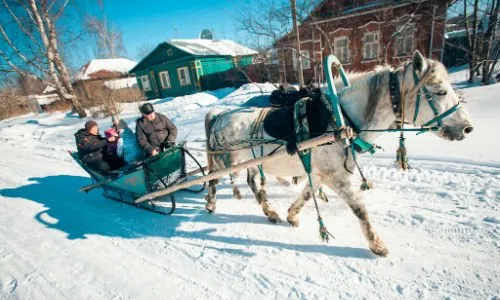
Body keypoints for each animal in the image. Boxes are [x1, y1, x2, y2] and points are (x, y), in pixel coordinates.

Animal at [202, 51, 472, 255]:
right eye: (439, 91)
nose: (467, 127)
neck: (341, 118)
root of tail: (218, 115)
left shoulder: (322, 173)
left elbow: (307, 194)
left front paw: (292, 215)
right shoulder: (337, 178)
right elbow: (360, 209)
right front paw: (377, 244)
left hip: (247, 162)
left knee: (251, 183)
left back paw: (269, 211)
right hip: (226, 161)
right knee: (212, 181)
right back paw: (212, 204)